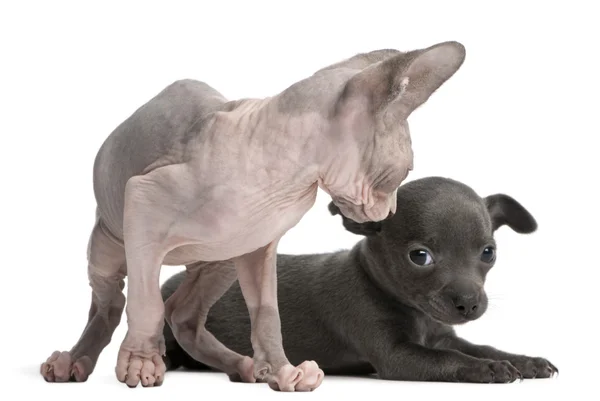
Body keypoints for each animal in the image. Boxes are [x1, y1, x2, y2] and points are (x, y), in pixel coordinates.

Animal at [39, 39, 466, 390]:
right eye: (402, 173)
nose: (388, 212)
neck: (291, 181)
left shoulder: (259, 247)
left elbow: (266, 315)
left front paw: (283, 371)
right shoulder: (143, 202)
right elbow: (146, 304)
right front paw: (142, 363)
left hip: (221, 260)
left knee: (184, 314)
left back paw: (242, 365)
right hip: (110, 241)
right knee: (111, 304)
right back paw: (72, 362)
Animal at [159, 176, 556, 382]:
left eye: (488, 252)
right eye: (420, 256)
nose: (469, 304)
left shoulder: (444, 335)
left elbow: (481, 346)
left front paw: (523, 360)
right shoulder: (397, 356)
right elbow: (449, 359)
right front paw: (486, 368)